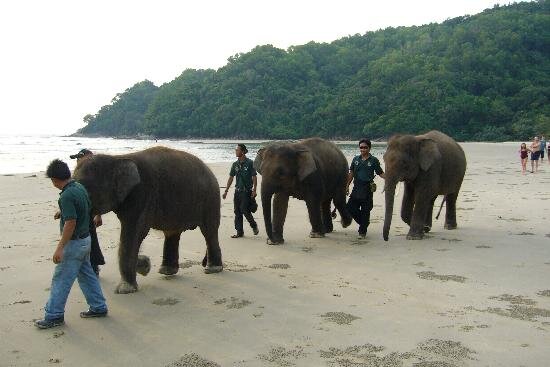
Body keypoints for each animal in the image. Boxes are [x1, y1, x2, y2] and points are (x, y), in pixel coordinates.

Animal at [74, 147, 224, 294]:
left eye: (87, 194)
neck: (118, 158)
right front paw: (145, 265)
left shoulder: (142, 194)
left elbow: (134, 233)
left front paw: (126, 288)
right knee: (172, 233)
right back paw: (167, 271)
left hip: (211, 198)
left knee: (209, 230)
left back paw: (212, 269)